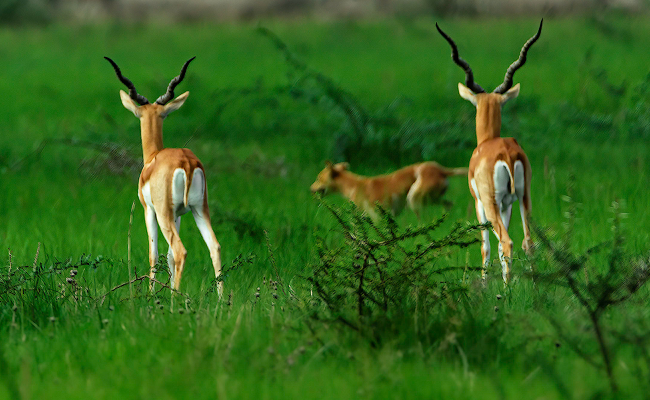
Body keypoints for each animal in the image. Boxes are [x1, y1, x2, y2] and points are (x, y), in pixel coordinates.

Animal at [104, 55, 220, 294]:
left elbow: (154, 255)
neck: (153, 158)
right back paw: (222, 299)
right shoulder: (178, 214)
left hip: (165, 213)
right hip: (199, 208)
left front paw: (151, 295)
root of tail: (186, 162)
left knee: (180, 251)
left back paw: (176, 298)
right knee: (214, 247)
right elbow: (167, 257)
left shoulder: (149, 210)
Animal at [308, 161, 466, 220]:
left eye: (318, 178)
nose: (310, 189)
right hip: (432, 199)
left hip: (413, 199)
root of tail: (441, 170)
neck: (353, 185)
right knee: (448, 204)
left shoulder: (376, 216)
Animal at [436, 20, 540, 282]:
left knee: (506, 242)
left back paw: (507, 289)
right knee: (528, 242)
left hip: (491, 203)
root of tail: (507, 153)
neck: (488, 142)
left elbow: (486, 247)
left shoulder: (479, 204)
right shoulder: (507, 204)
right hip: (524, 196)